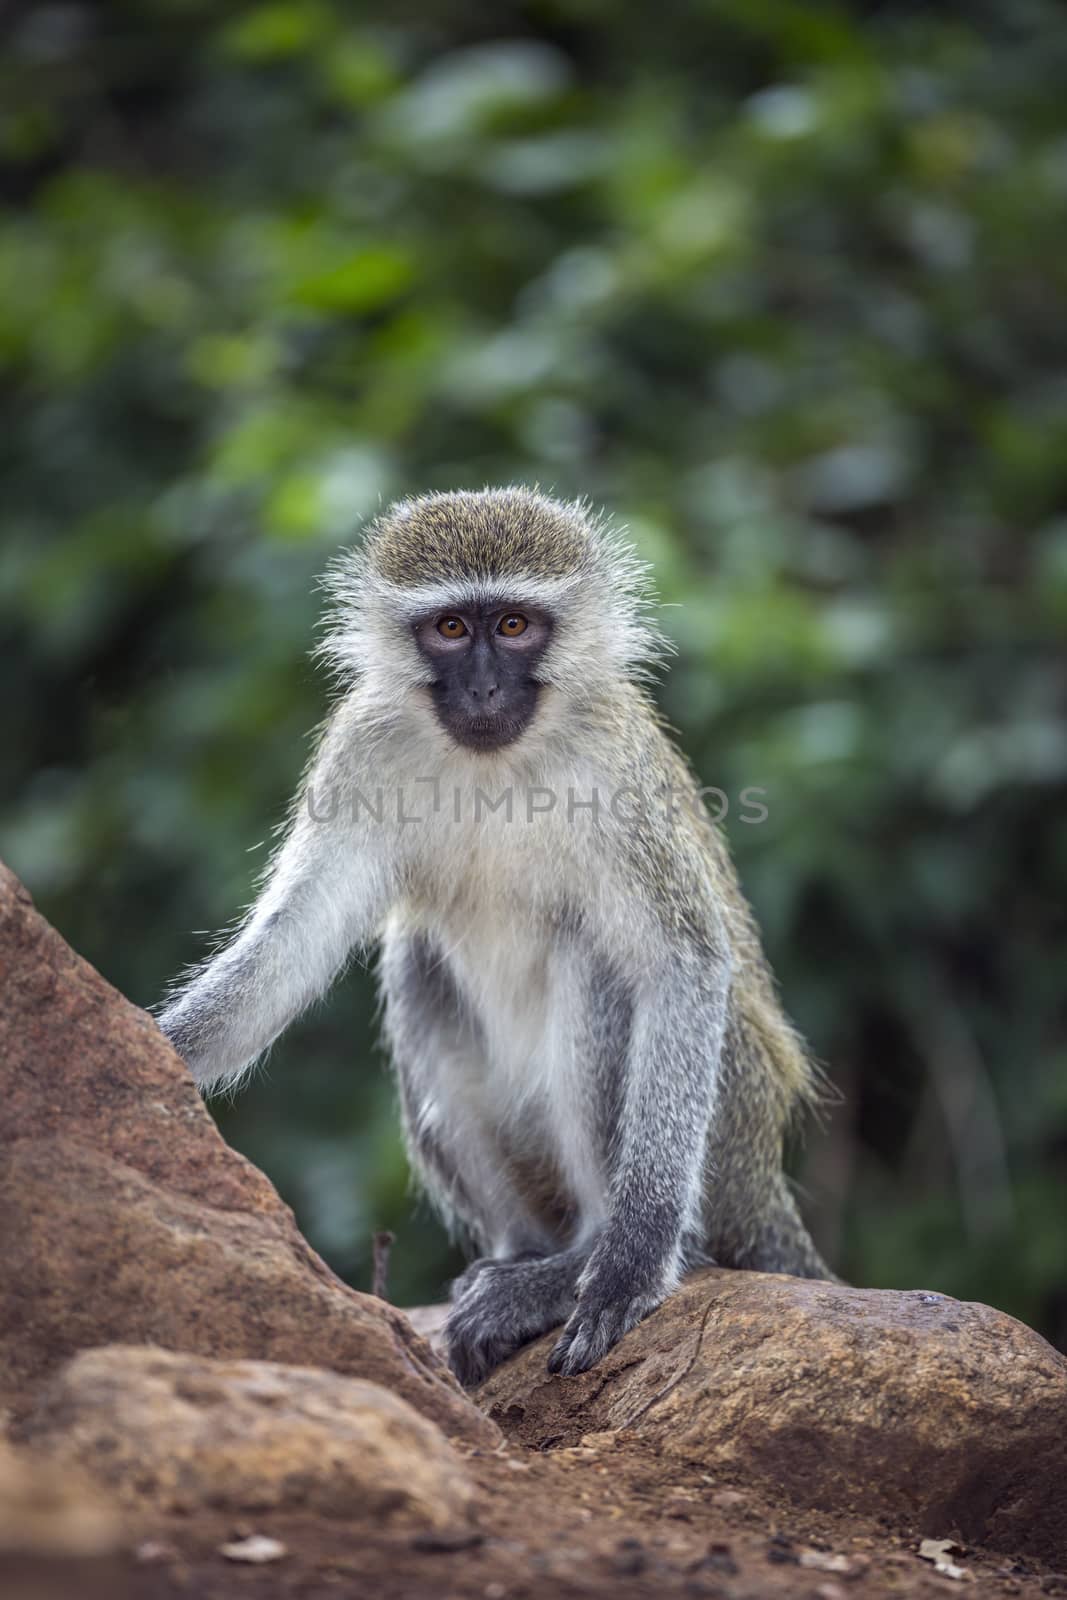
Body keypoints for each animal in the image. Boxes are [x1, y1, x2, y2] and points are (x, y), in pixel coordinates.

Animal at [158, 480, 831, 1382]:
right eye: (450, 629)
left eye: (512, 626)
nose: (480, 691)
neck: (496, 765)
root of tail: (766, 1192)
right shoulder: (361, 751)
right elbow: (293, 944)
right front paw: (158, 1050)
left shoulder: (615, 774)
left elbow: (679, 964)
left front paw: (631, 1259)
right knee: (416, 965)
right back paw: (519, 1257)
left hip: (735, 1128)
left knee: (599, 966)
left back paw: (580, 1267)